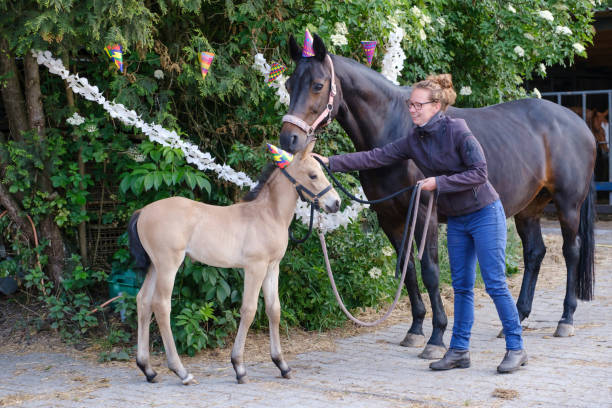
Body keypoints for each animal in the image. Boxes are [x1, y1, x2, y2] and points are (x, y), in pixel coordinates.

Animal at [127, 142, 342, 384]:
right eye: (313, 175)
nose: (336, 203)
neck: (268, 214)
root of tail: (143, 211)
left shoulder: (272, 268)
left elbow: (274, 310)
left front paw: (282, 365)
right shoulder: (255, 268)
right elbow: (249, 310)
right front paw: (239, 366)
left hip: (154, 266)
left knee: (143, 301)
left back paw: (147, 369)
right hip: (167, 265)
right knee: (161, 305)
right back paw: (182, 372)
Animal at [280, 35, 596, 360]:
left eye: (318, 85)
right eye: (290, 84)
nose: (289, 139)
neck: (395, 126)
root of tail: (579, 123)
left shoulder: (424, 213)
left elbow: (430, 270)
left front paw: (436, 336)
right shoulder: (390, 218)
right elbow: (408, 272)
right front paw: (415, 329)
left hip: (568, 206)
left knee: (572, 251)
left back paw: (565, 320)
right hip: (529, 209)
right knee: (535, 253)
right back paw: (518, 317)